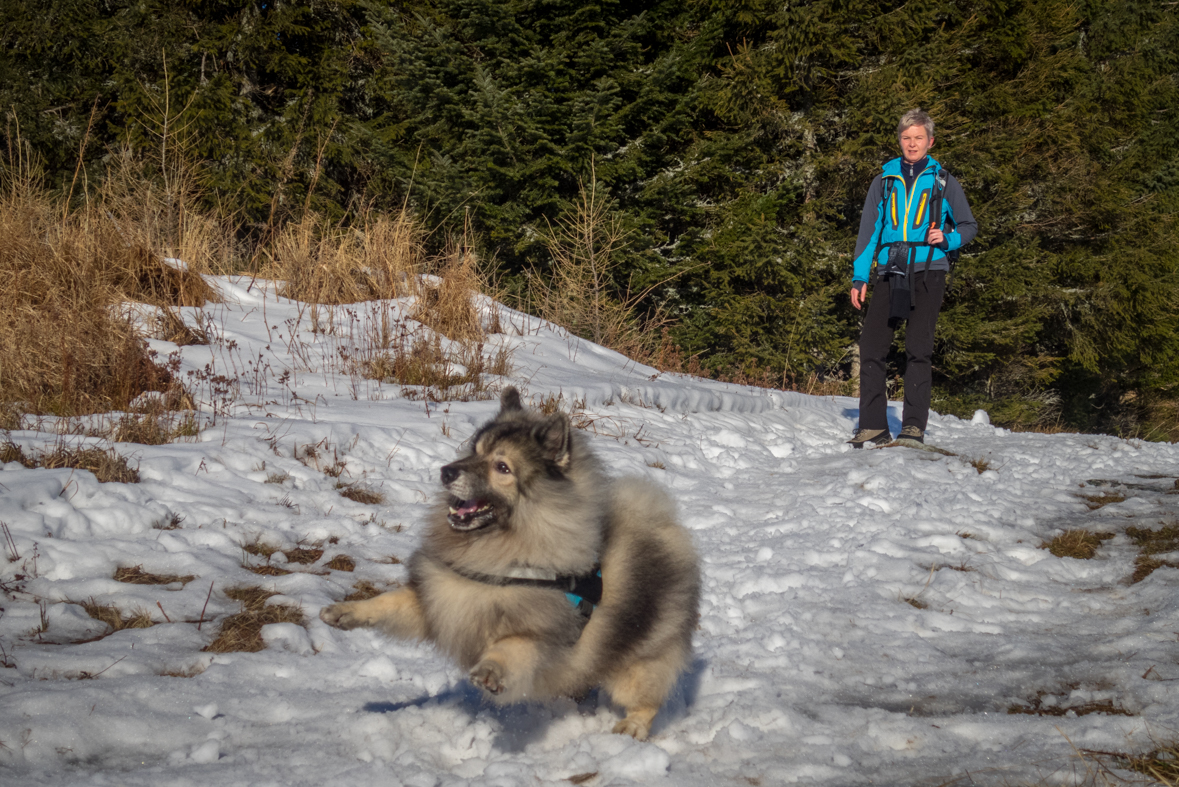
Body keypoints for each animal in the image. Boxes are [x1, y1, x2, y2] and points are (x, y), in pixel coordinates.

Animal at [320, 386, 697, 739]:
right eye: (475, 451)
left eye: (502, 467)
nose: (446, 472)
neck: (500, 554)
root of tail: (665, 532)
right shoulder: (439, 599)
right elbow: (388, 602)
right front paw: (345, 612)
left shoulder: (539, 633)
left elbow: (510, 647)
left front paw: (490, 671)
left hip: (638, 665)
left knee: (647, 698)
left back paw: (631, 727)